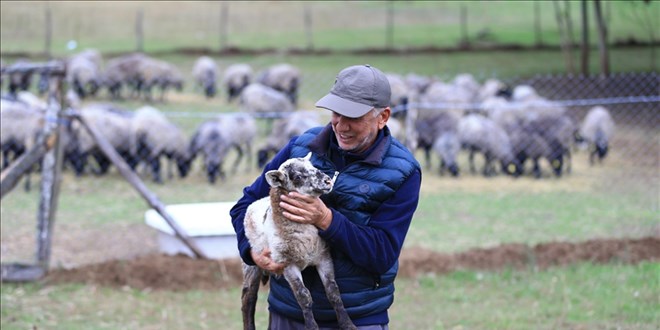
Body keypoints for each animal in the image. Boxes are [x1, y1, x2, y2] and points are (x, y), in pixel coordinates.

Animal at [242, 152, 356, 330]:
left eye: (314, 166)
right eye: (298, 176)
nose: (328, 181)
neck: (306, 237)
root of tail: (259, 201)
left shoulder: (323, 257)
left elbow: (333, 291)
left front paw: (348, 324)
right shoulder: (287, 263)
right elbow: (303, 297)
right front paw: (312, 326)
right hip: (252, 264)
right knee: (248, 298)